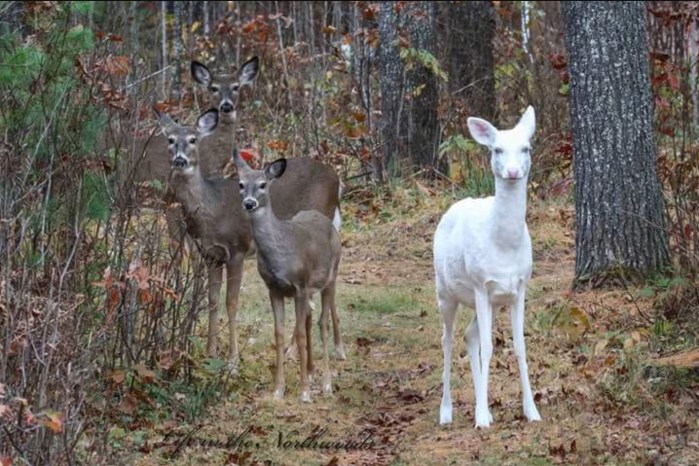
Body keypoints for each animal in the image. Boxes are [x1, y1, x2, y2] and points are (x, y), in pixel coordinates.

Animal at [156, 108, 346, 371]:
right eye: (170, 139)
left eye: (193, 139)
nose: (180, 160)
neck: (211, 209)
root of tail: (337, 180)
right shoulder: (211, 255)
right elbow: (212, 300)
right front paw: (210, 353)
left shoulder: (236, 249)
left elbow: (231, 302)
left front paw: (232, 361)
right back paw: (330, 349)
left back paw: (300, 351)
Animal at [234, 151, 342, 402]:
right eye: (241, 184)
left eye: (263, 184)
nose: (249, 203)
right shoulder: (274, 289)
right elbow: (279, 333)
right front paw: (278, 390)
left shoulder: (300, 286)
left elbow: (300, 334)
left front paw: (304, 392)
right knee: (311, 318)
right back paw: (311, 371)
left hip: (330, 277)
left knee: (322, 322)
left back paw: (326, 383)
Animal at [433, 106, 542, 428]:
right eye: (496, 149)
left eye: (526, 148)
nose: (513, 172)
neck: (503, 246)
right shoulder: (481, 284)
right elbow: (490, 347)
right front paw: (481, 418)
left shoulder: (519, 287)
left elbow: (519, 346)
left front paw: (531, 411)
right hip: (445, 291)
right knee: (447, 339)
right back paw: (446, 411)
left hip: (491, 302)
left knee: (469, 336)